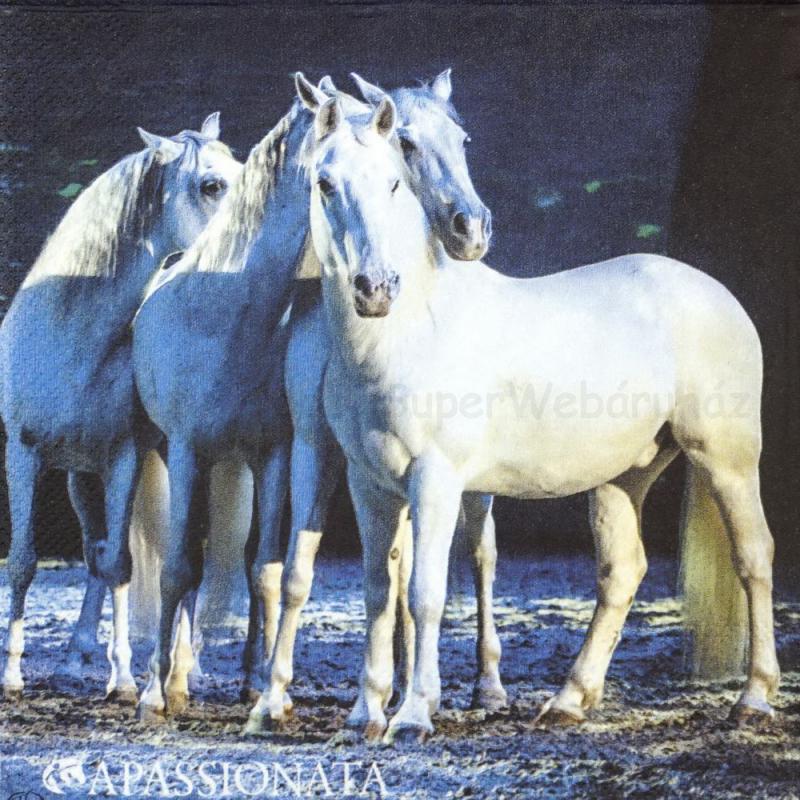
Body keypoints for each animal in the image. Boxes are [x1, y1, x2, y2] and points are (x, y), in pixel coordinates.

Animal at [0, 115, 242, 702]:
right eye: (212, 185)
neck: (71, 335)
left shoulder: (123, 460)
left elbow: (121, 565)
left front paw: (125, 680)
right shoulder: (24, 455)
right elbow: (24, 562)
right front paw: (13, 674)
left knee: (187, 558)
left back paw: (182, 672)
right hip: (79, 479)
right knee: (95, 551)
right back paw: (74, 657)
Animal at [250, 71, 506, 734]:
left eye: (463, 140)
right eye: (407, 145)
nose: (471, 229)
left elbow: (419, 579)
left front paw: (413, 696)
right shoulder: (317, 448)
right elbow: (302, 572)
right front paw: (273, 697)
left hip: (476, 485)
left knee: (481, 555)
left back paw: (487, 686)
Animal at [301, 93, 780, 743]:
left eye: (394, 180)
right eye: (324, 182)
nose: (375, 288)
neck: (409, 333)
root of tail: (717, 294)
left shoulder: (436, 481)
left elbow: (424, 594)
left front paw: (415, 714)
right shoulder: (369, 483)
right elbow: (379, 592)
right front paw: (364, 716)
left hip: (726, 459)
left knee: (754, 556)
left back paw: (754, 699)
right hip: (624, 476)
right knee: (622, 572)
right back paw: (569, 701)